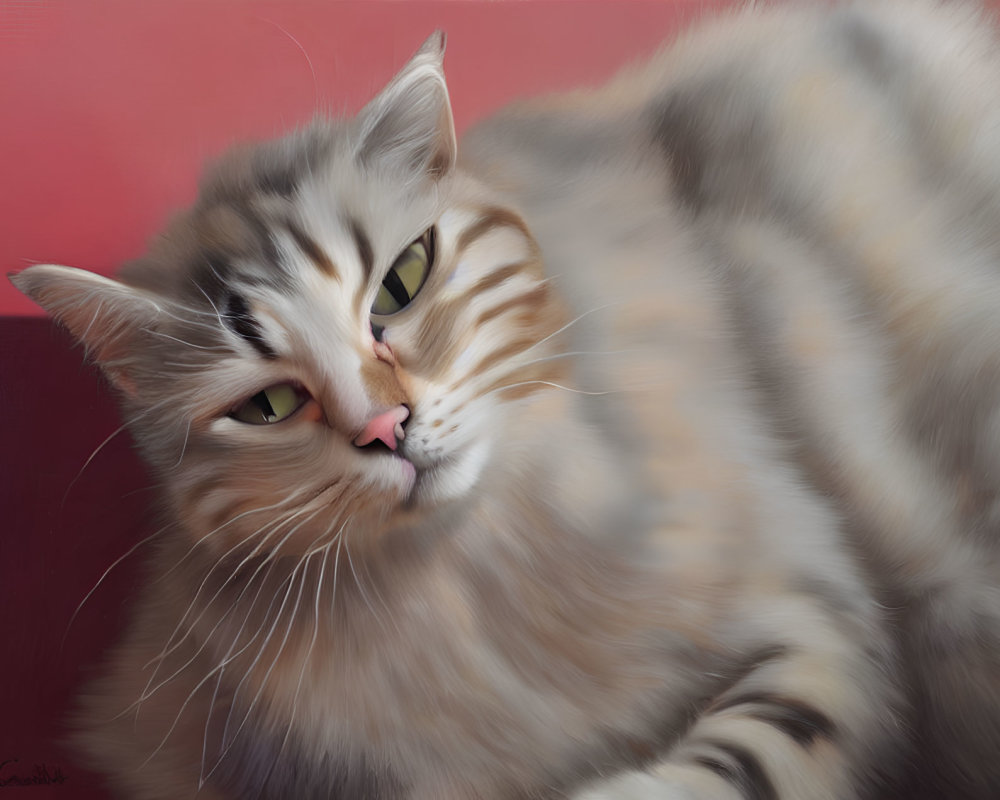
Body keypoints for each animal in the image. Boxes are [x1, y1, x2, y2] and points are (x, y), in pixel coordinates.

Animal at [11, 0, 1000, 796]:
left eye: (401, 281)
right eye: (268, 409)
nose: (384, 427)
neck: (474, 575)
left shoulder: (819, 608)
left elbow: (748, 754)